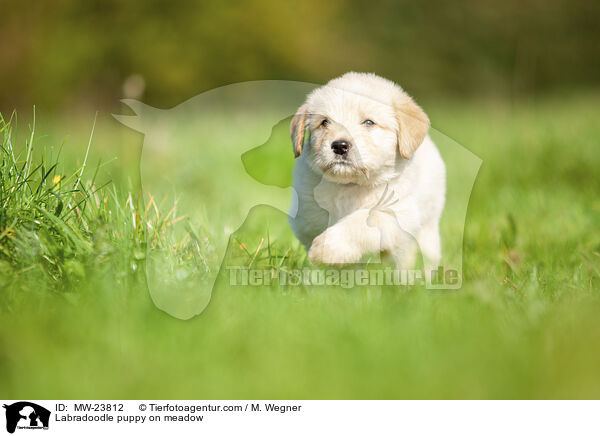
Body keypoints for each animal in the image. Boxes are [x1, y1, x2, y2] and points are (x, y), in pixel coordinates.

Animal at [290, 72, 446, 270]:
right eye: (324, 122)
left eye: (369, 122)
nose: (340, 146)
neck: (351, 185)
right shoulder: (307, 216)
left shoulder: (398, 214)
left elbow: (361, 222)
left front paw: (326, 249)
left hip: (428, 229)